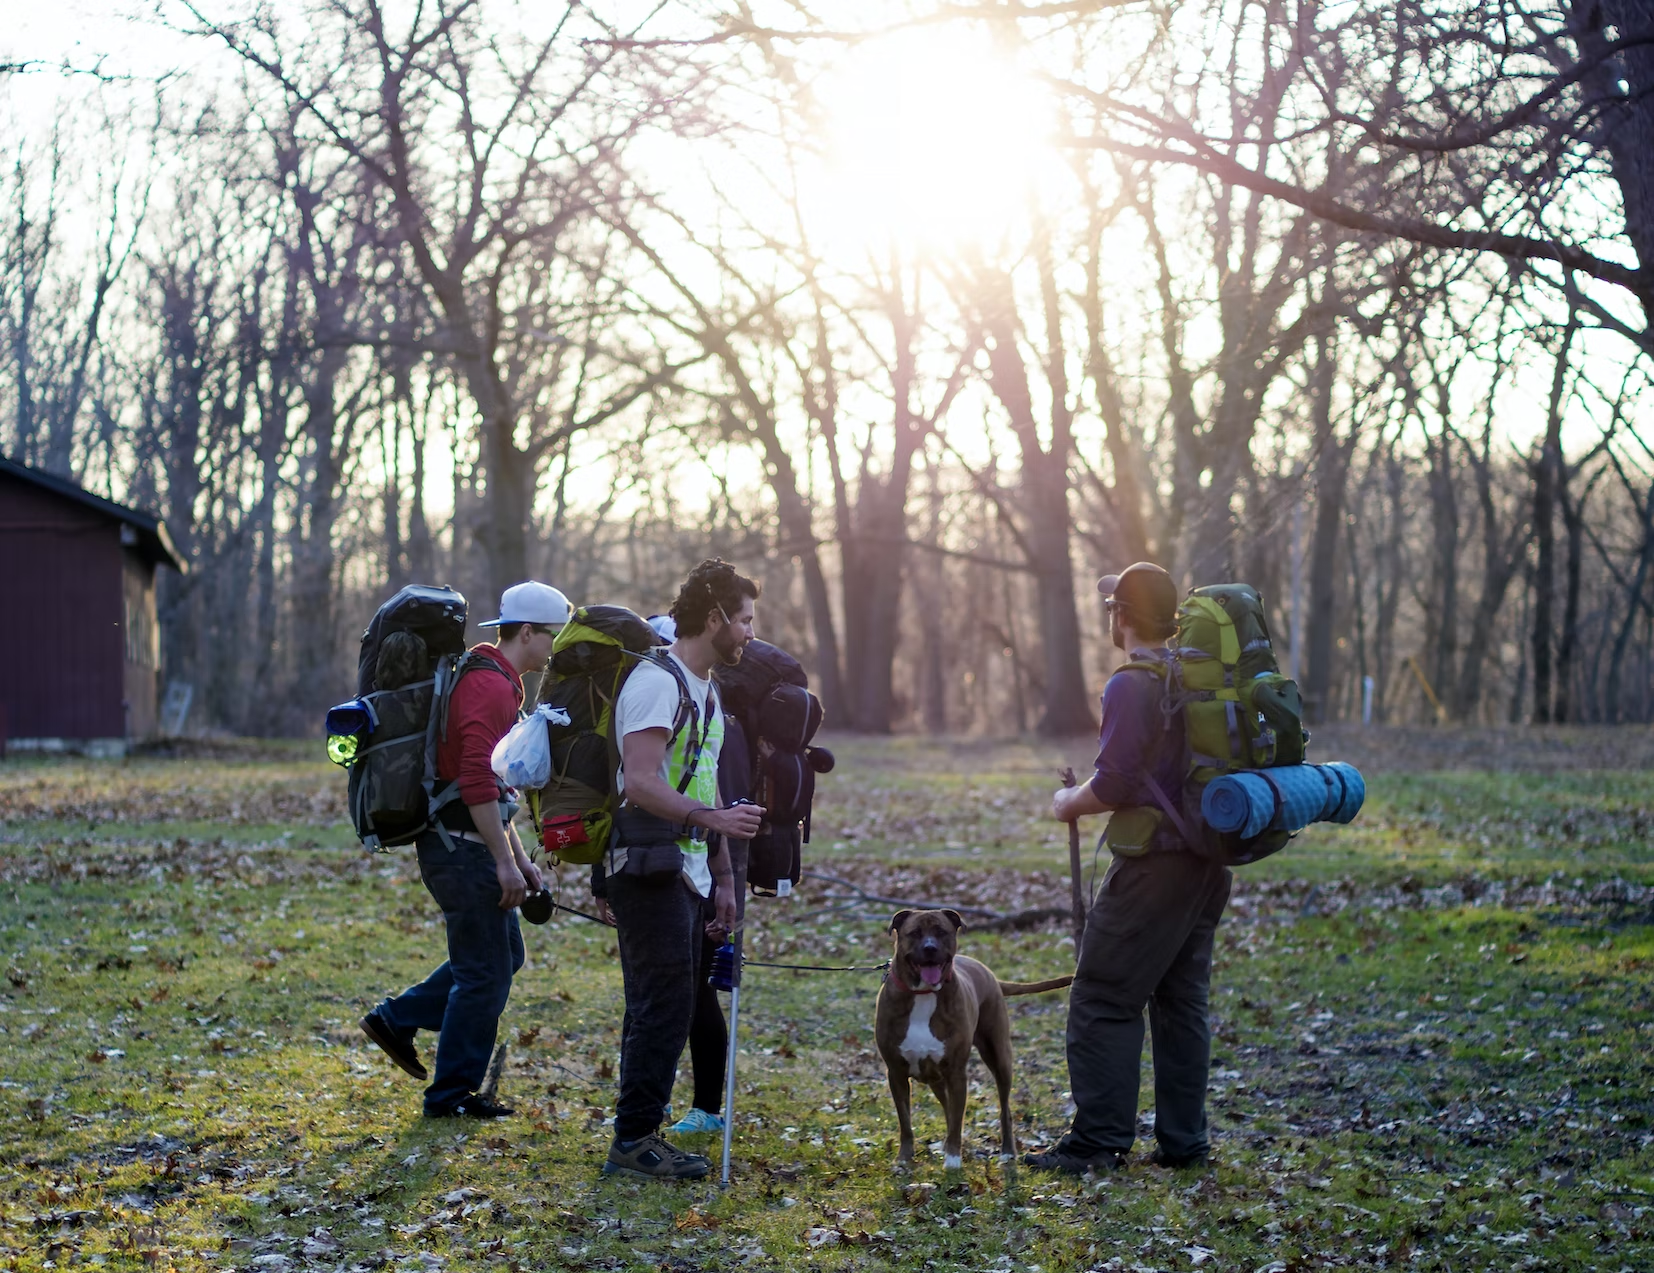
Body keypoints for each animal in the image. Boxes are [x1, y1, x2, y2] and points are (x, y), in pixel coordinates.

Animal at [879, 905, 1071, 1163]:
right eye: (915, 933)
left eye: (941, 932)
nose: (930, 948)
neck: (923, 994)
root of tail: (989, 972)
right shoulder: (896, 1073)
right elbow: (906, 1121)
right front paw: (904, 1159)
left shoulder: (957, 1073)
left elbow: (956, 1120)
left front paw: (952, 1161)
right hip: (936, 1078)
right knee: (947, 1107)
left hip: (999, 1057)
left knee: (1004, 1109)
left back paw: (1007, 1152)